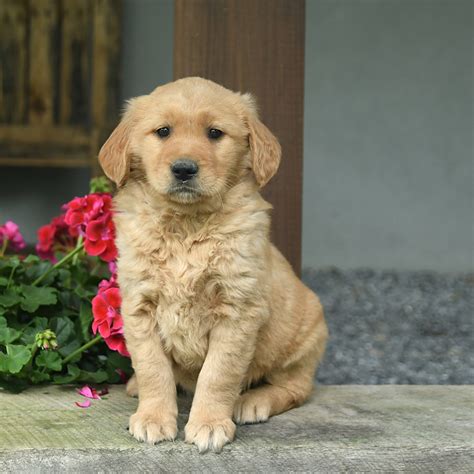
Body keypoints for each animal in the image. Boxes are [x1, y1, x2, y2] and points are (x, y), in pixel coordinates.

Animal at [98, 77, 328, 452]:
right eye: (163, 131)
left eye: (215, 133)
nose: (184, 168)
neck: (187, 225)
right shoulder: (139, 305)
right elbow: (152, 368)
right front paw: (153, 417)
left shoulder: (237, 309)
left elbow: (218, 374)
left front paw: (208, 424)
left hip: (304, 337)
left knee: (296, 388)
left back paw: (253, 401)